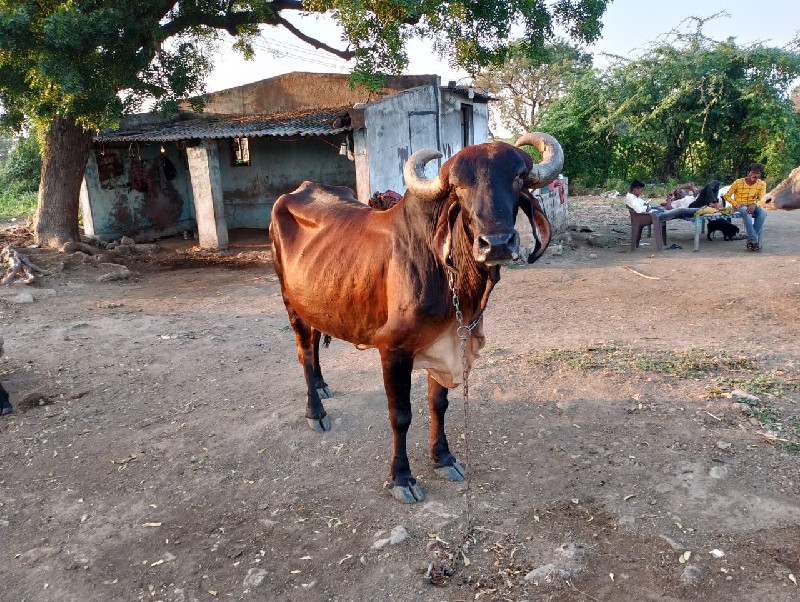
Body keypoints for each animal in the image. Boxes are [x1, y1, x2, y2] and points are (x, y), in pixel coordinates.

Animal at [268, 132, 564, 502]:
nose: (496, 243)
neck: (450, 276)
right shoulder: (393, 349)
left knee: (316, 340)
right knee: (304, 351)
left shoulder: (447, 341)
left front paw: (443, 458)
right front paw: (402, 478)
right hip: (290, 303)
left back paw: (322, 386)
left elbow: (439, 403)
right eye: (459, 187)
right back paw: (316, 410)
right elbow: (401, 415)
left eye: (517, 178)